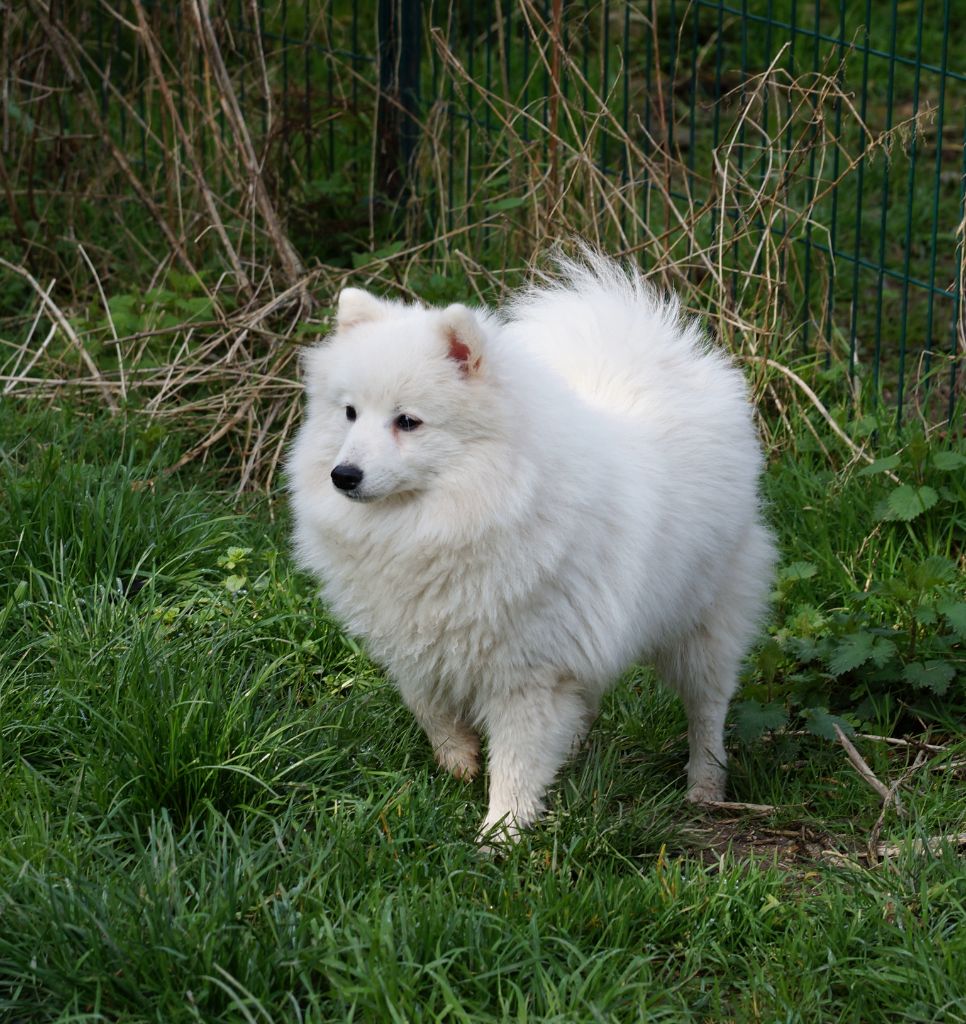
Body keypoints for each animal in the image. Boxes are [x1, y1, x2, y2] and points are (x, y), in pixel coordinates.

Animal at [288, 251, 778, 843]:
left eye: (407, 421)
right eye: (350, 413)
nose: (343, 475)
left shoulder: (530, 672)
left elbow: (517, 762)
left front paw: (500, 835)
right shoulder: (416, 643)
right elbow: (429, 708)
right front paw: (458, 760)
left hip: (702, 627)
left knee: (707, 709)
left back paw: (706, 785)